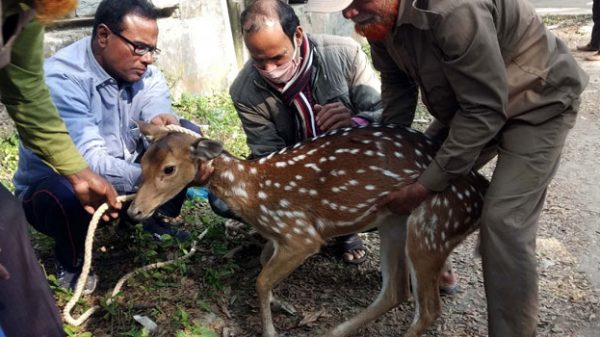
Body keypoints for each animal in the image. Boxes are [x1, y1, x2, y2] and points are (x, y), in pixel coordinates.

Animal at [126, 121, 488, 336]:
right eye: (141, 162)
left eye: (169, 169)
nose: (133, 211)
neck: (252, 192)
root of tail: (480, 194)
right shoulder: (277, 237)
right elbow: (262, 265)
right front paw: (281, 304)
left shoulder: (300, 233)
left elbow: (260, 280)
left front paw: (270, 330)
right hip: (395, 221)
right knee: (396, 290)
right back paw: (335, 331)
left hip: (435, 224)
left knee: (429, 309)